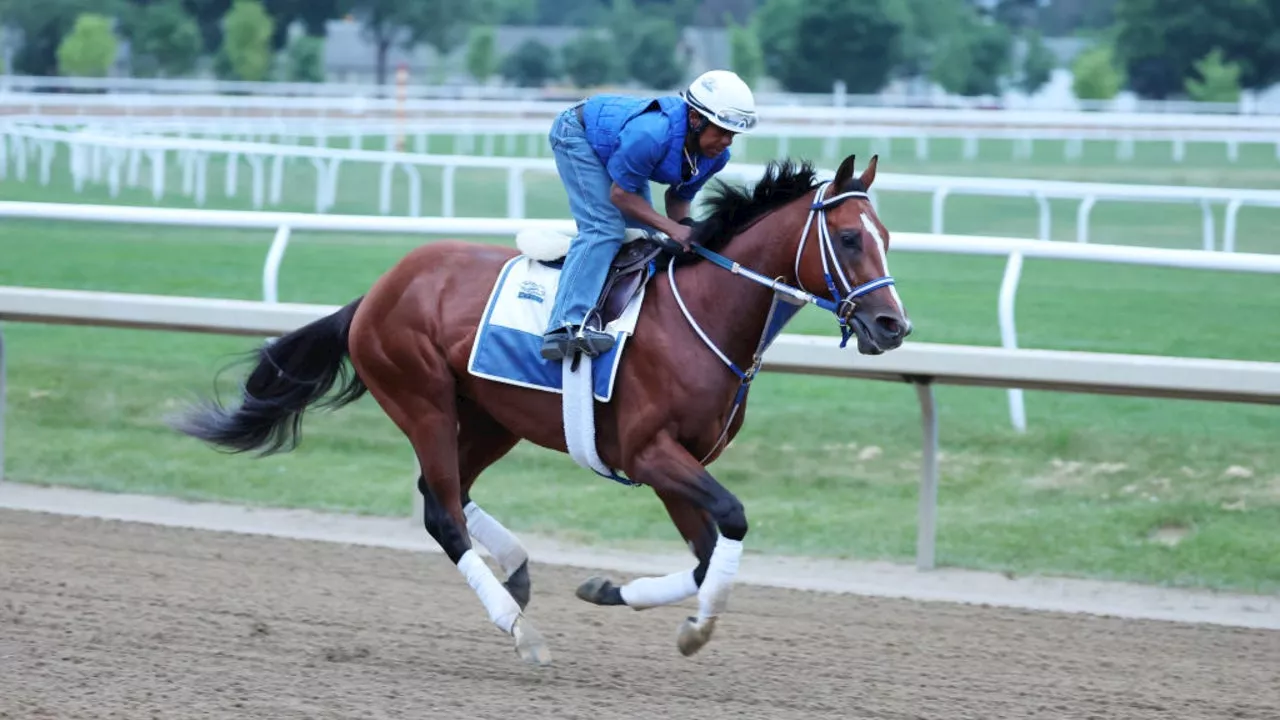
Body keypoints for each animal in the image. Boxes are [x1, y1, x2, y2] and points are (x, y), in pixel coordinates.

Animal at [175, 154, 911, 666]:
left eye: (888, 236)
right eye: (849, 239)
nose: (892, 325)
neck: (703, 315)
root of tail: (378, 291)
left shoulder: (675, 464)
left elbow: (708, 555)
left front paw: (614, 593)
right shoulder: (651, 452)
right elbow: (732, 518)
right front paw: (696, 628)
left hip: (492, 418)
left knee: (442, 492)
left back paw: (520, 574)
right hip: (422, 399)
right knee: (443, 512)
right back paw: (518, 626)